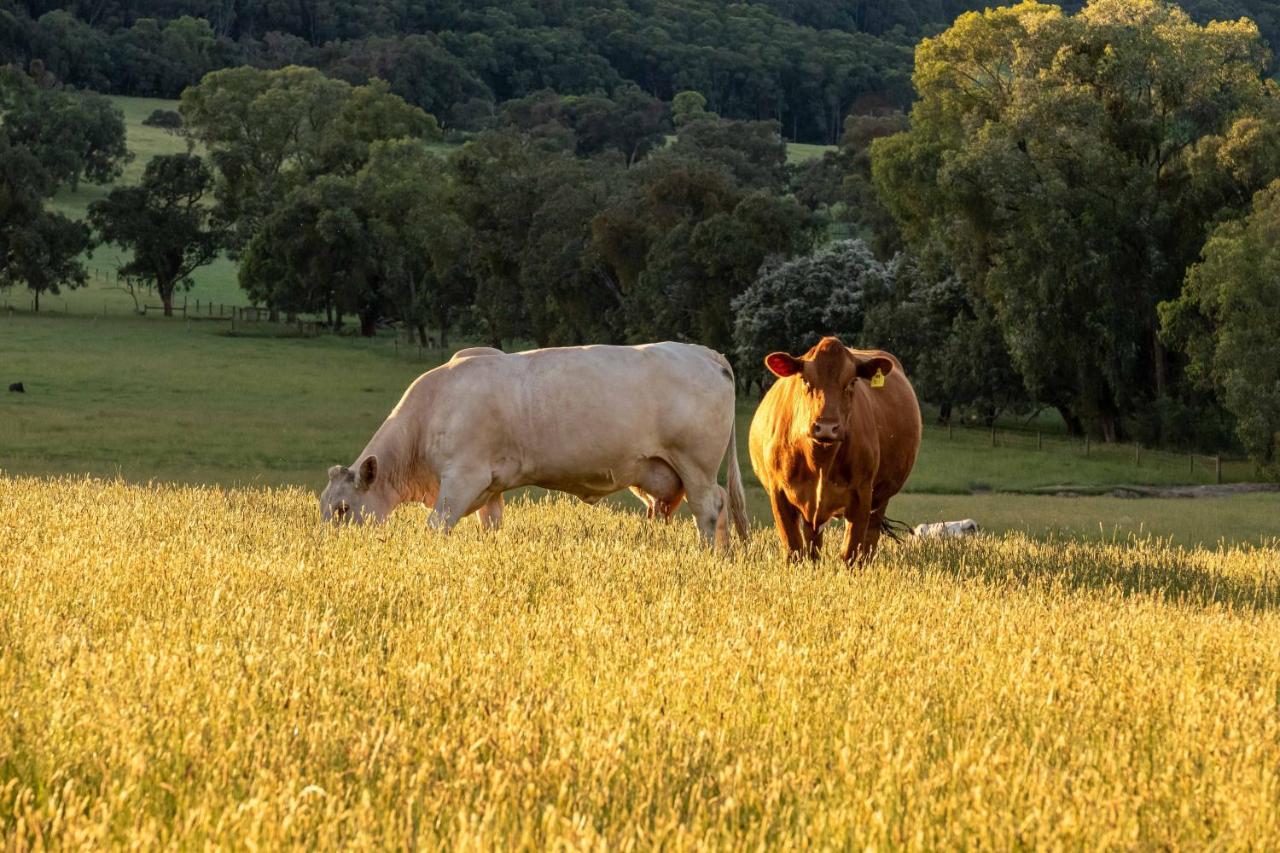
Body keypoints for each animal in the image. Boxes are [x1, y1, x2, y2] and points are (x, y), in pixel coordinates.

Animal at [318, 343, 747, 548]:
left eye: (342, 509)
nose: (326, 551)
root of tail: (705, 352)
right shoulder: (488, 487)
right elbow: (490, 526)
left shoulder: (461, 478)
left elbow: (436, 526)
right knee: (723, 506)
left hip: (695, 466)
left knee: (709, 510)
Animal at [747, 335, 921, 560]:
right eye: (805, 380)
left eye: (852, 382)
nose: (827, 427)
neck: (819, 460)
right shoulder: (779, 493)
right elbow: (794, 549)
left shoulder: (862, 494)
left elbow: (850, 552)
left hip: (881, 498)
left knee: (869, 541)